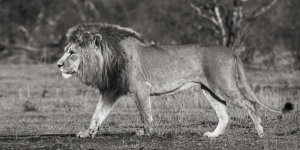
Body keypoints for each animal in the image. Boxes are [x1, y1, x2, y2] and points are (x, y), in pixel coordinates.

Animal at [56, 22, 292, 139]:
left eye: (72, 53)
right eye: (66, 51)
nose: (58, 65)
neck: (108, 59)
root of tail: (230, 50)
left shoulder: (141, 89)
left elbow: (145, 114)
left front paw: (146, 133)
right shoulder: (111, 91)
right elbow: (97, 115)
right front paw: (87, 133)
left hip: (223, 85)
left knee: (250, 104)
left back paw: (260, 132)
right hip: (210, 90)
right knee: (225, 115)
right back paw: (213, 136)